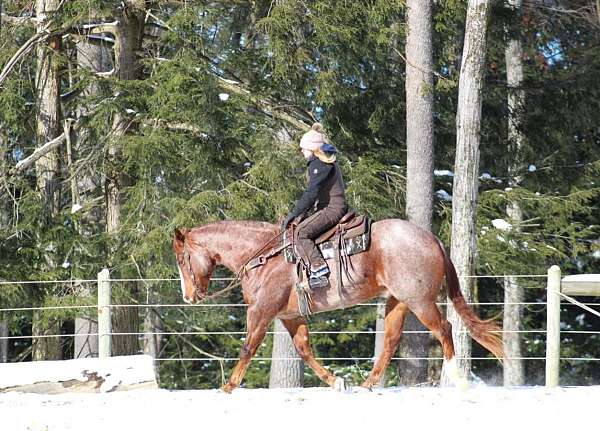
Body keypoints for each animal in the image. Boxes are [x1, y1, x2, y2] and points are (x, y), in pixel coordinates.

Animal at [172, 221, 502, 394]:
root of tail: (431, 238)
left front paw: (228, 386)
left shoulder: (262, 312)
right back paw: (367, 384)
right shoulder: (291, 316)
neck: (263, 258)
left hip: (419, 301)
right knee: (391, 341)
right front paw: (337, 381)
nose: (188, 296)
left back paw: (457, 380)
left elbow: (248, 348)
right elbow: (305, 350)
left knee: (444, 329)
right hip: (397, 302)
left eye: (181, 259)